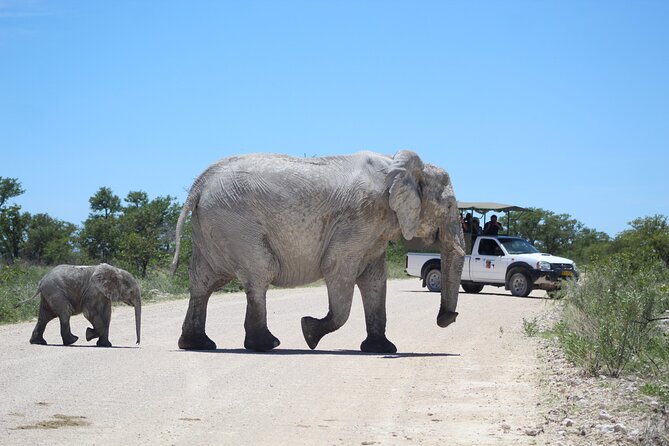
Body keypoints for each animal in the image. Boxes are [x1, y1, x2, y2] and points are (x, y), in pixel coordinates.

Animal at [171, 152, 464, 354]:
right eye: (450, 206)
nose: (447, 318)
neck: (398, 165)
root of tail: (200, 183)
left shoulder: (374, 230)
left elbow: (374, 281)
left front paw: (382, 349)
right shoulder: (360, 218)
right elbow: (337, 269)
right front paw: (309, 332)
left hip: (212, 226)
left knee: (204, 281)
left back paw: (198, 344)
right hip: (235, 222)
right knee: (260, 271)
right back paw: (266, 345)